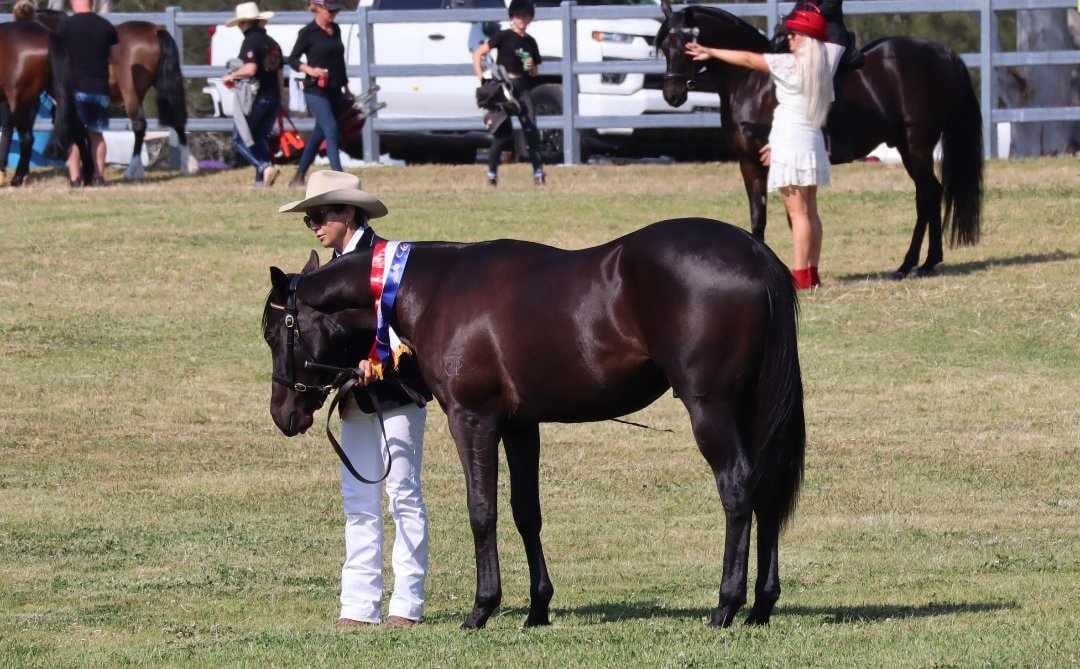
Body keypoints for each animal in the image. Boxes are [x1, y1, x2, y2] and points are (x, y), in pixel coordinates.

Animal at [33, 9, 194, 180]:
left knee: (139, 125)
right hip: (163, 87)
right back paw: (188, 165)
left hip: (130, 92)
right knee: (176, 120)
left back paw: (132, 170)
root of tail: (155, 30)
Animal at [262, 218, 806, 629]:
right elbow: (527, 512)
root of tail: (755, 252)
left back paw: (726, 605)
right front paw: (537, 609)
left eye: (274, 331)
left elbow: (482, 510)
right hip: (750, 408)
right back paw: (761, 605)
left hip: (711, 407)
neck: (428, 289)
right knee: (766, 490)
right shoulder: (521, 425)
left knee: (737, 487)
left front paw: (482, 609)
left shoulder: (473, 419)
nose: (283, 415)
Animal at [657, 1, 984, 279]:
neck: (752, 82)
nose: (672, 95)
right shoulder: (748, 161)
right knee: (930, 193)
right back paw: (922, 262)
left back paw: (915, 264)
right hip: (906, 146)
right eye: (664, 45)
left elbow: (792, 218)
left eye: (686, 44)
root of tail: (942, 52)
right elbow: (758, 216)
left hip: (917, 144)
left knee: (927, 193)